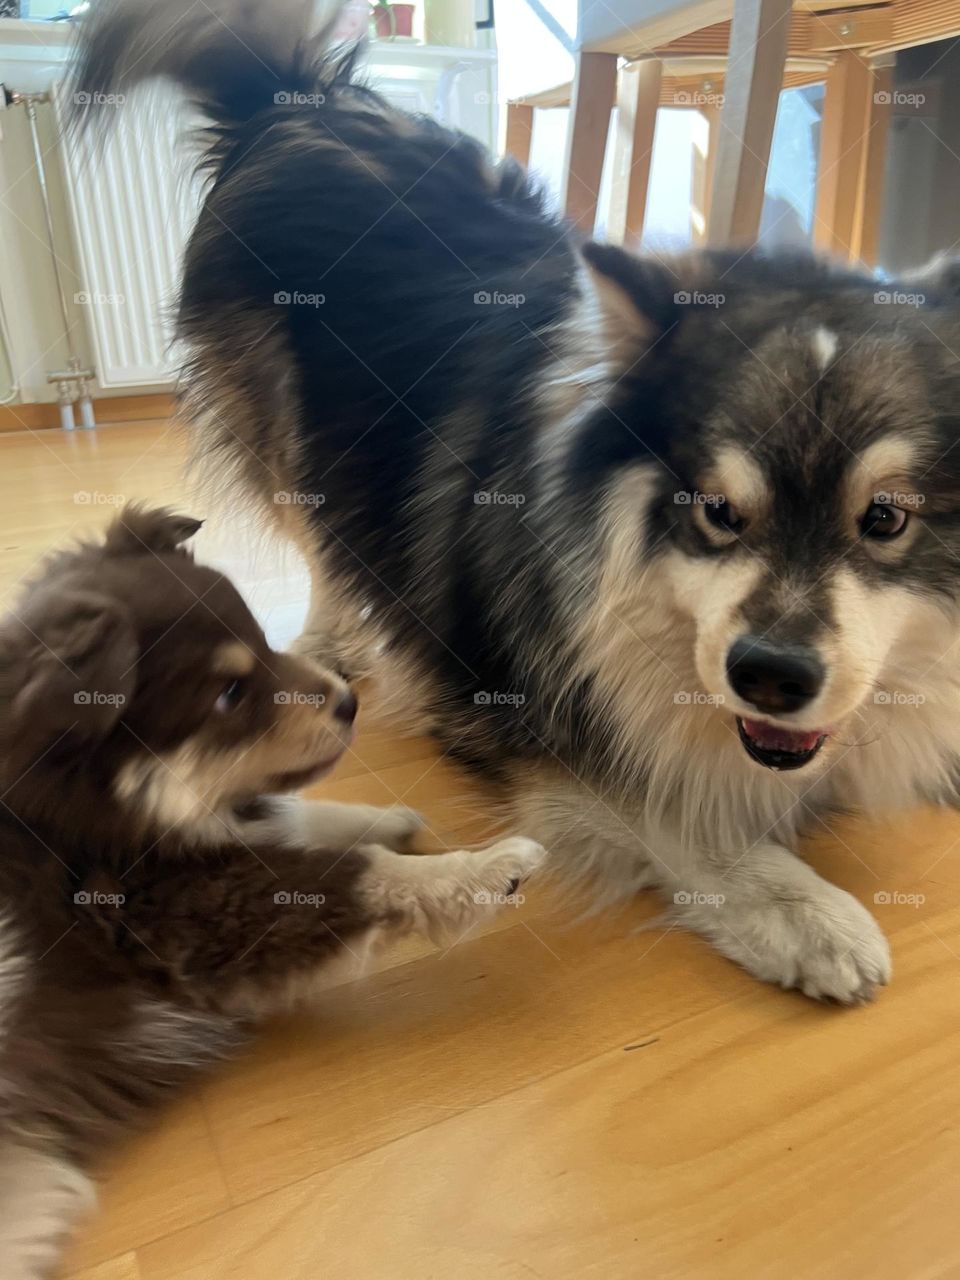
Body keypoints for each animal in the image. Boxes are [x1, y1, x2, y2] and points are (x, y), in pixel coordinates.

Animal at [0, 504, 542, 1274]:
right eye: (229, 694)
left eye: (264, 641)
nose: (349, 701)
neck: (74, 809)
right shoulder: (184, 911)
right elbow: (358, 872)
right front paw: (490, 866)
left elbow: (296, 820)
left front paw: (386, 818)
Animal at [77, 2, 960, 1008]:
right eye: (717, 511)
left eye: (886, 519)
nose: (770, 678)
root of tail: (301, 99)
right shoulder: (509, 712)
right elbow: (667, 807)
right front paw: (802, 909)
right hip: (289, 431)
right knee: (325, 546)